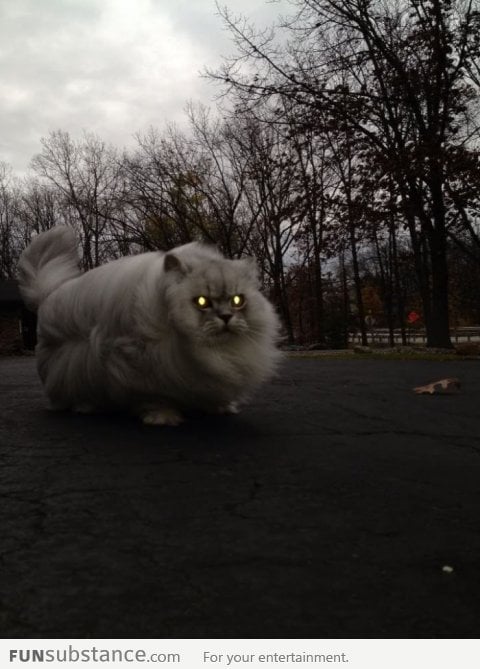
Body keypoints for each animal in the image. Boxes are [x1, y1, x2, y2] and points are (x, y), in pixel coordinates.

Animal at [18, 224, 282, 422]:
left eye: (238, 300)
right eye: (202, 302)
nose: (226, 317)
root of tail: (49, 296)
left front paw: (220, 408)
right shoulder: (136, 363)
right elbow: (154, 396)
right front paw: (163, 417)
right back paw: (86, 407)